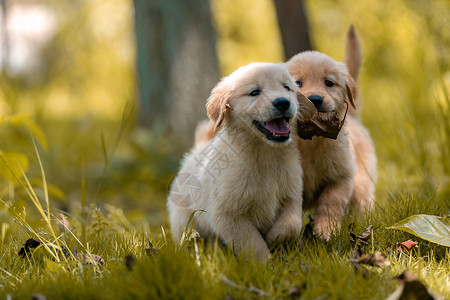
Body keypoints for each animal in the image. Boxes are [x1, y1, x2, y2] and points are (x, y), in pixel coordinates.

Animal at [166, 62, 312, 258]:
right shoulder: (228, 214)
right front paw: (266, 262)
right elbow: (251, 242)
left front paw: (275, 238)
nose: (283, 102)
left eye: (287, 88)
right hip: (184, 221)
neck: (264, 153)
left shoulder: (292, 195)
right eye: (254, 92)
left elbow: (291, 224)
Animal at [286, 27, 378, 240]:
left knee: (363, 203)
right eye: (297, 83)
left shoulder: (342, 176)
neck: (311, 140)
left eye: (329, 83)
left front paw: (325, 231)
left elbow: (330, 203)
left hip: (362, 181)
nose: (314, 99)